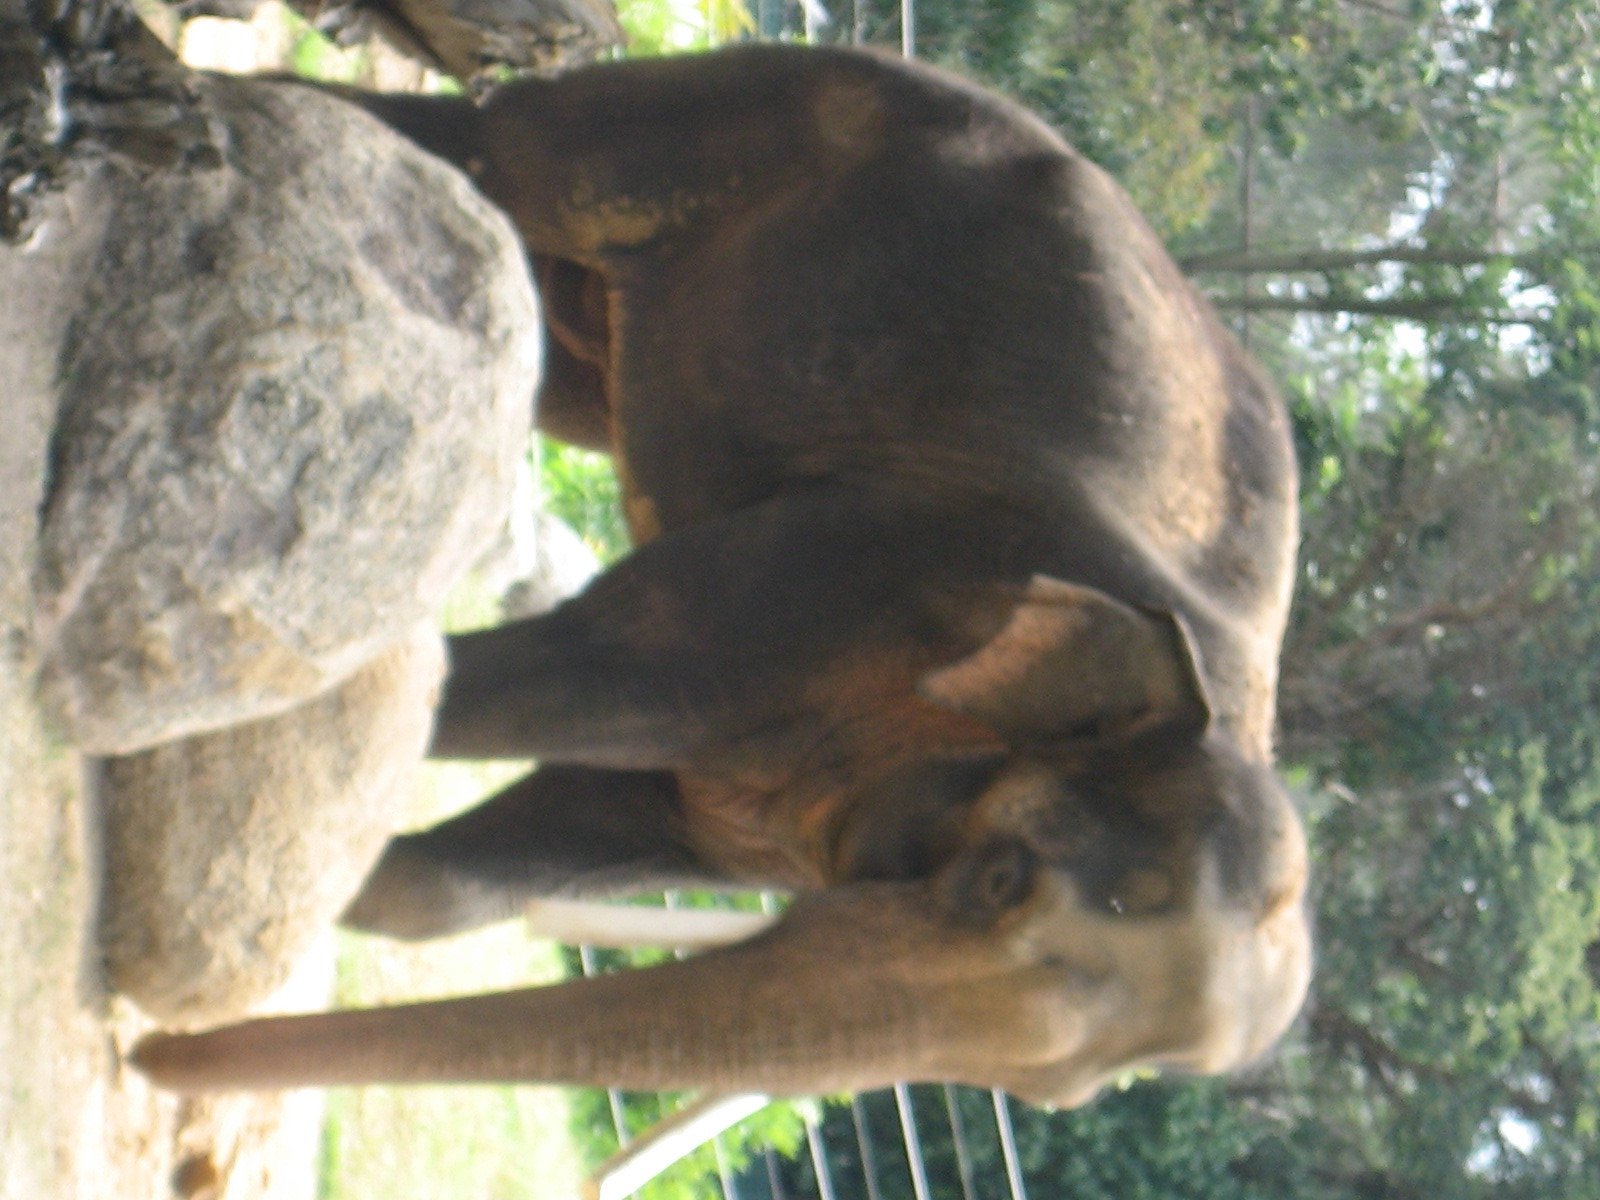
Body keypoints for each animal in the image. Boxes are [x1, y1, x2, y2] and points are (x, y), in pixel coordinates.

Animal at [131, 43, 1311, 1109]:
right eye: (1001, 884)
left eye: (1061, 1101)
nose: (146, 1058)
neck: (1228, 717)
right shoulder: (855, 575)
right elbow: (536, 687)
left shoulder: (761, 799)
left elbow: (502, 866)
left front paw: (326, 894)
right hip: (753, 106)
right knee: (494, 151)